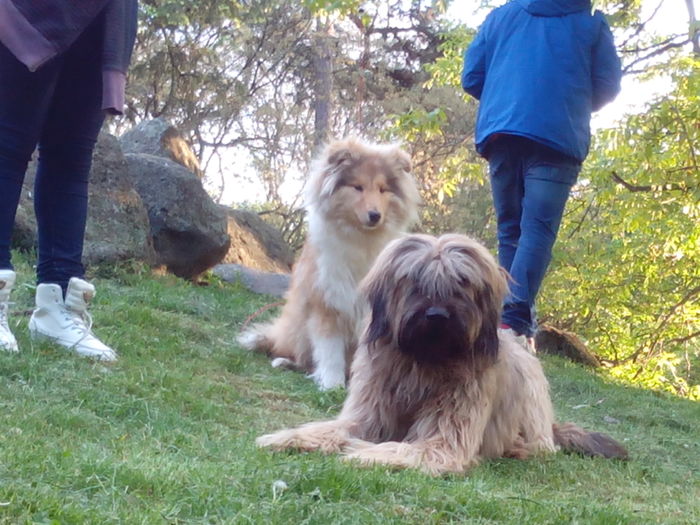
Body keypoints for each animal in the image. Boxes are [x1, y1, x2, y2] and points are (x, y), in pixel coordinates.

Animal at [238, 138, 418, 388]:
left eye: (383, 189)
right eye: (358, 187)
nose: (375, 216)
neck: (361, 240)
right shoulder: (327, 301)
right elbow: (329, 349)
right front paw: (332, 384)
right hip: (297, 325)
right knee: (300, 357)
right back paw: (287, 363)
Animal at [258, 233, 628, 474]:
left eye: (461, 283)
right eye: (414, 281)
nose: (436, 315)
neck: (424, 361)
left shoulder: (449, 431)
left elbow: (409, 448)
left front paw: (363, 452)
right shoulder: (369, 409)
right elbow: (335, 428)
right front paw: (290, 436)